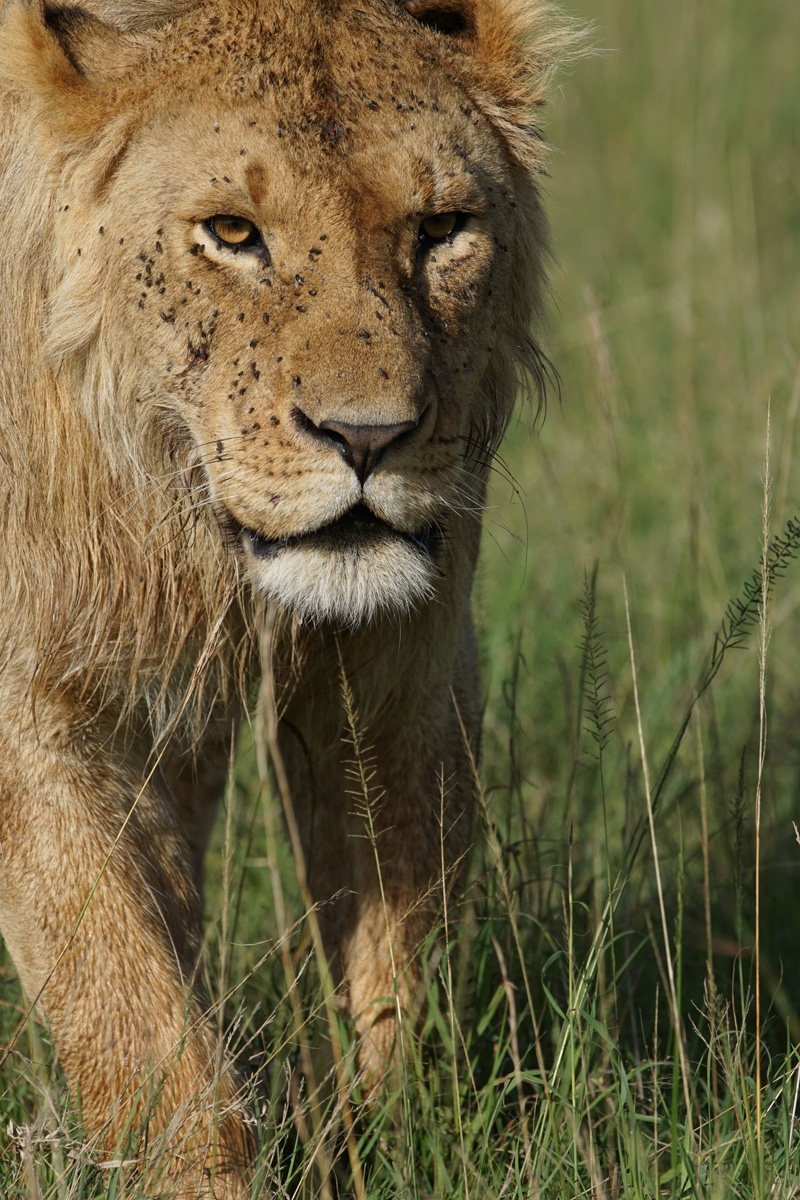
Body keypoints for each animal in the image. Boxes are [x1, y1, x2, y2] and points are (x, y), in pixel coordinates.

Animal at [0, 0, 563, 1190]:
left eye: (442, 228)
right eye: (231, 232)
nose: (367, 438)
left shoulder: (402, 671)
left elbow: (400, 976)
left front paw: (391, 1148)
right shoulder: (31, 700)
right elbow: (131, 1016)